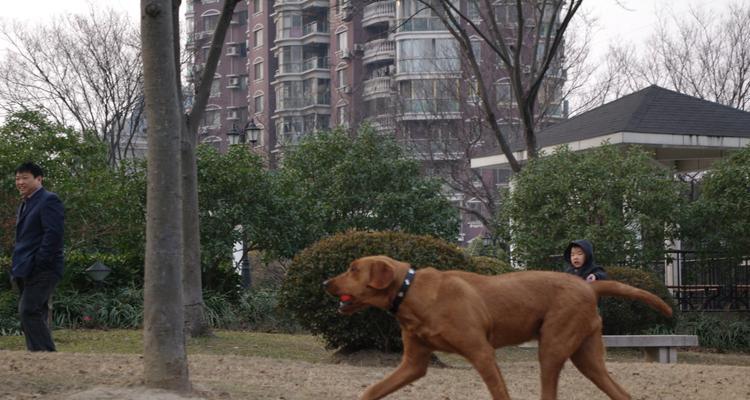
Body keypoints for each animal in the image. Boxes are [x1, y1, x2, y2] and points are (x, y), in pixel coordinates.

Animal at [324, 256, 676, 400]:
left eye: (352, 269)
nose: (326, 282)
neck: (409, 292)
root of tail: (588, 286)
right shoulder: (414, 363)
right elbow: (372, 390)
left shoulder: (482, 353)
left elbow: (500, 393)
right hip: (587, 356)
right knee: (621, 392)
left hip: (553, 346)